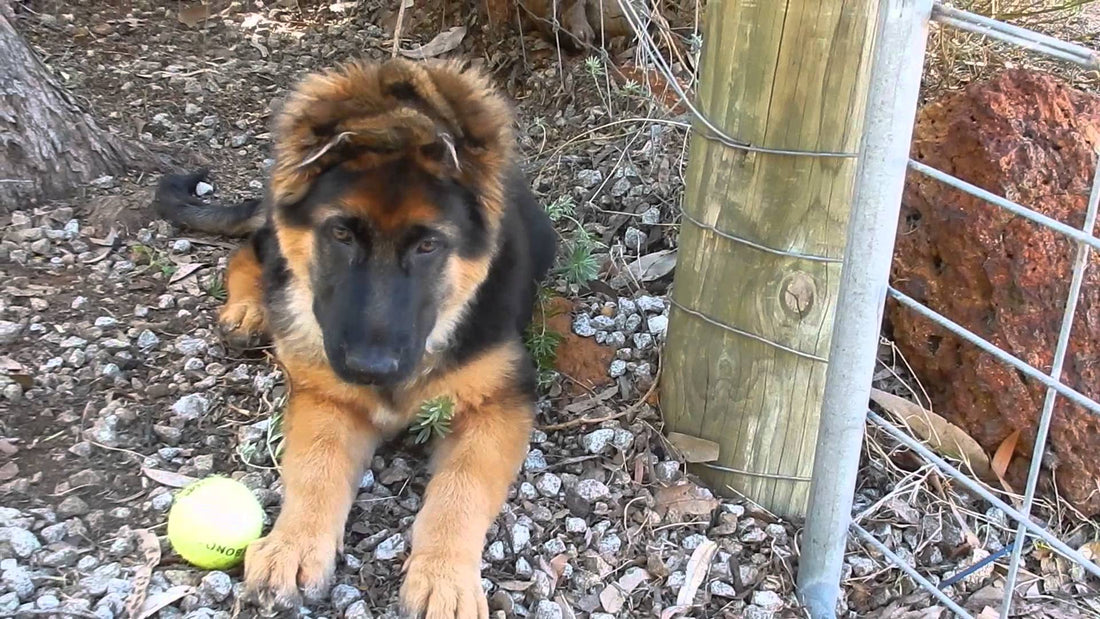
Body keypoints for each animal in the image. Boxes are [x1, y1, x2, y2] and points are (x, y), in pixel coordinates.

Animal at [152, 56, 558, 615]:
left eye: (429, 245)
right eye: (341, 234)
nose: (371, 369)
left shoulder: (499, 403)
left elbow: (462, 489)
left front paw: (444, 578)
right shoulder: (327, 396)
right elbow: (316, 466)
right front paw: (294, 544)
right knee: (251, 254)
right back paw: (250, 311)